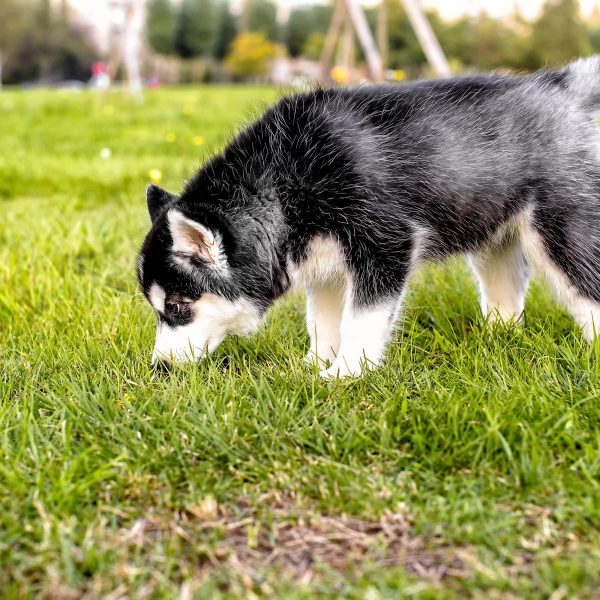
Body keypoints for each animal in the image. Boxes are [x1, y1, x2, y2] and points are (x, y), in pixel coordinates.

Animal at [138, 55, 600, 376]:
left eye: (177, 306)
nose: (159, 368)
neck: (288, 176)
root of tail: (559, 85)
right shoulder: (322, 263)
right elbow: (323, 320)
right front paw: (313, 365)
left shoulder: (386, 243)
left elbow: (361, 319)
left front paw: (345, 373)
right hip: (492, 230)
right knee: (507, 285)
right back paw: (496, 341)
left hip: (560, 230)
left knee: (585, 289)